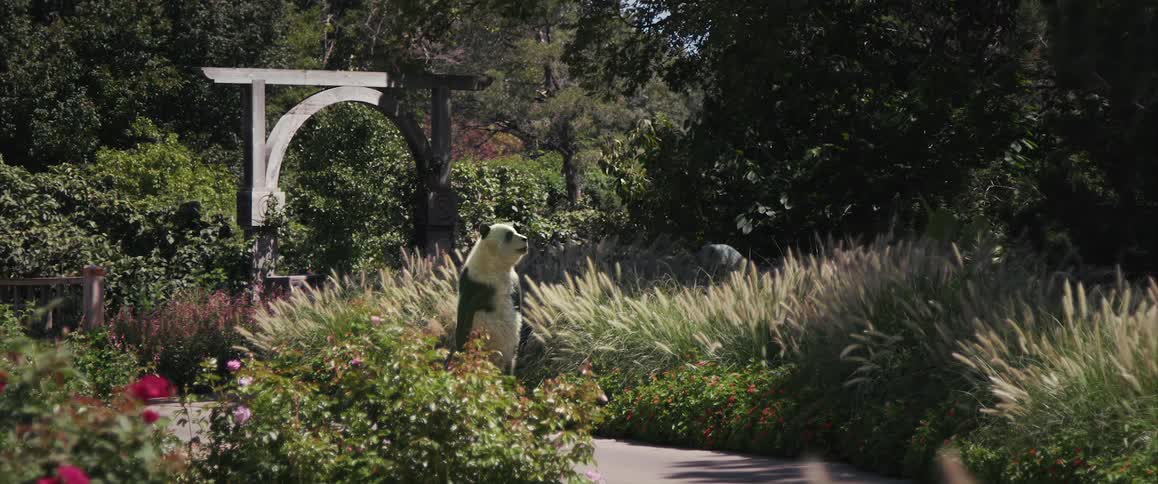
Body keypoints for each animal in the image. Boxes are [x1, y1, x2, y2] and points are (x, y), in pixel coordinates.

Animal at [449, 222, 529, 374]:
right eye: (509, 235)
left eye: (516, 231)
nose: (525, 239)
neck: (497, 265)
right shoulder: (476, 282)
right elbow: (466, 310)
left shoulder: (513, 281)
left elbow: (518, 306)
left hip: (508, 354)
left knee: (509, 363)